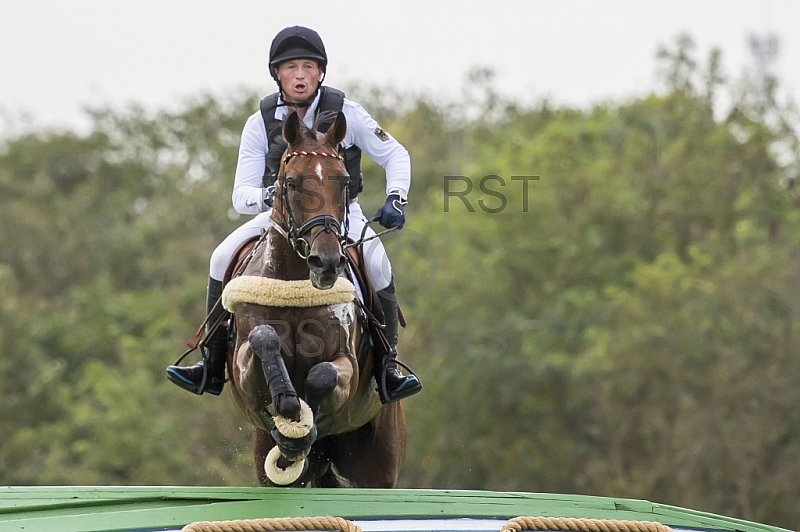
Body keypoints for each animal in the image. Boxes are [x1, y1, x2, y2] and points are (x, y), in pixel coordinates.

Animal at [220, 111, 406, 486]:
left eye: (343, 182)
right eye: (291, 183)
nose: (327, 262)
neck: (295, 280)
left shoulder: (347, 365)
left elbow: (323, 375)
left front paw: (299, 429)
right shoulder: (246, 379)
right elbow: (264, 339)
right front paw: (289, 409)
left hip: (378, 463)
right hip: (264, 454)